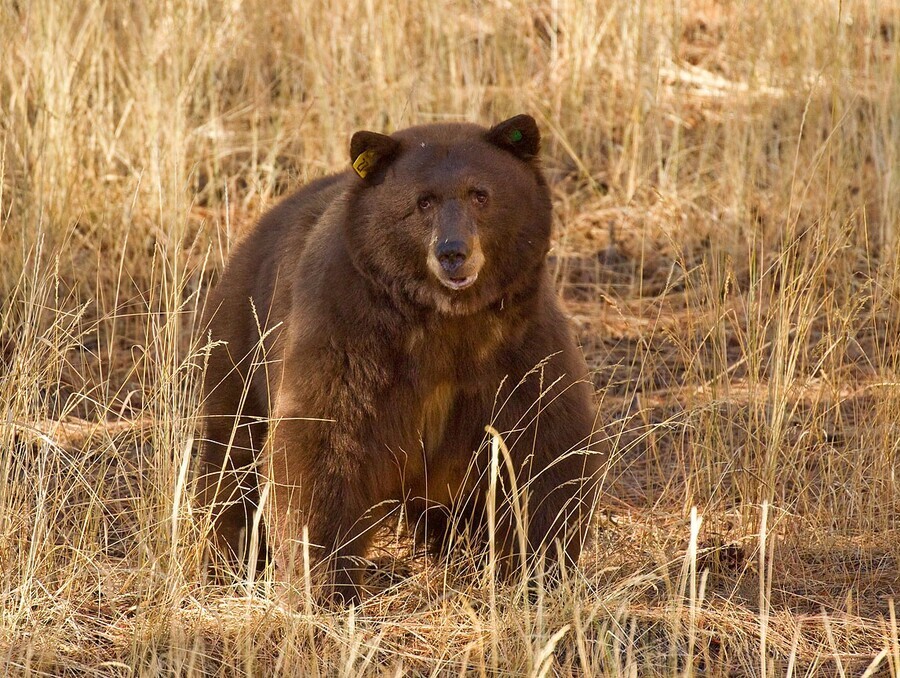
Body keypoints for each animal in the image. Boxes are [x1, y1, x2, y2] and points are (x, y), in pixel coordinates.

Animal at [196, 114, 604, 603]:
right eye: (423, 201)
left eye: (480, 194)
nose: (453, 252)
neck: (447, 321)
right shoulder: (353, 334)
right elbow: (326, 444)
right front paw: (325, 583)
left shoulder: (519, 345)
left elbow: (545, 446)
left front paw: (539, 570)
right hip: (244, 338)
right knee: (231, 454)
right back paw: (232, 559)